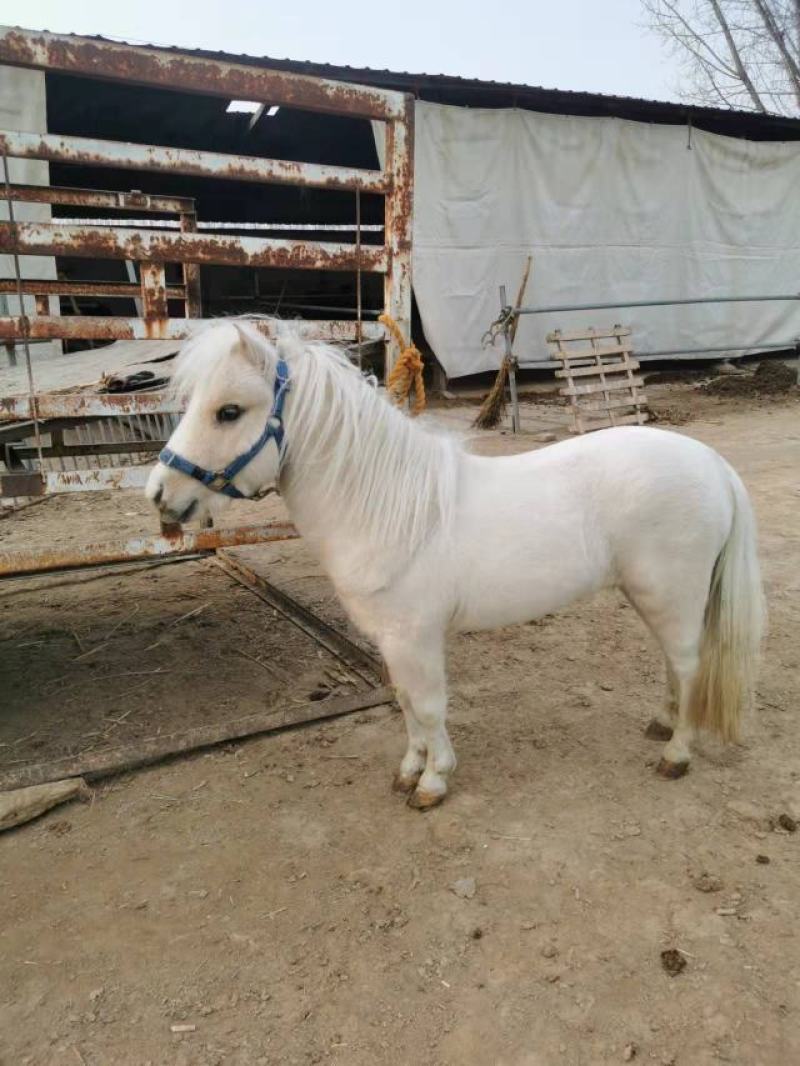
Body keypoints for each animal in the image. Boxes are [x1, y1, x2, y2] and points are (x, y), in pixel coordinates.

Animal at [146, 319, 765, 810]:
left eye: (228, 411)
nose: (158, 494)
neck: (388, 507)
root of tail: (712, 464)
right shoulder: (390, 640)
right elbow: (405, 702)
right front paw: (409, 769)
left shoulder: (415, 636)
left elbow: (428, 704)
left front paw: (433, 781)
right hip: (652, 596)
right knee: (673, 663)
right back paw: (661, 723)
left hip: (672, 593)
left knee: (688, 665)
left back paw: (676, 753)